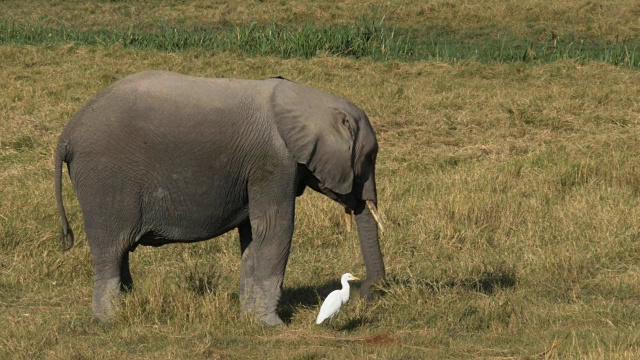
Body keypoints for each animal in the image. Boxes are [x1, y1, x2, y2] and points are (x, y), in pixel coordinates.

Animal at [53, 70, 384, 326]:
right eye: (369, 158)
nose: (369, 292)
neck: (306, 99)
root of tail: (66, 135)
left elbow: (253, 237)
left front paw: (249, 320)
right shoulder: (274, 163)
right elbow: (275, 229)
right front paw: (271, 325)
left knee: (119, 253)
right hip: (106, 180)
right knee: (111, 249)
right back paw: (109, 321)